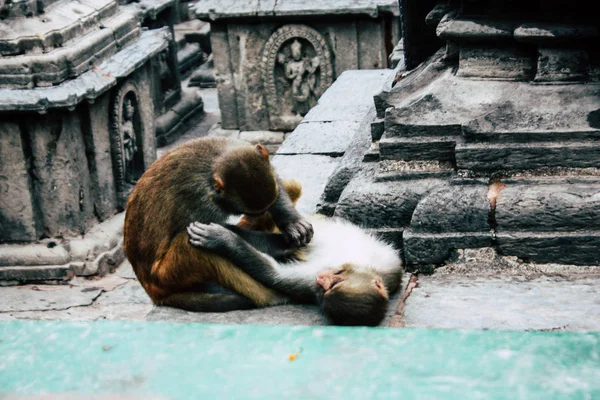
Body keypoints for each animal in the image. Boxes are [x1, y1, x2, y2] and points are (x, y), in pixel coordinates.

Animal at [121, 136, 310, 310]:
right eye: (255, 212)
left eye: (266, 209)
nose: (264, 212)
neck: (213, 164)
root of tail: (152, 292)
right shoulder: (200, 200)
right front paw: (280, 243)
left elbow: (276, 180)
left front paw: (293, 223)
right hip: (165, 277)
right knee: (189, 244)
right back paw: (270, 296)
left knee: (291, 184)